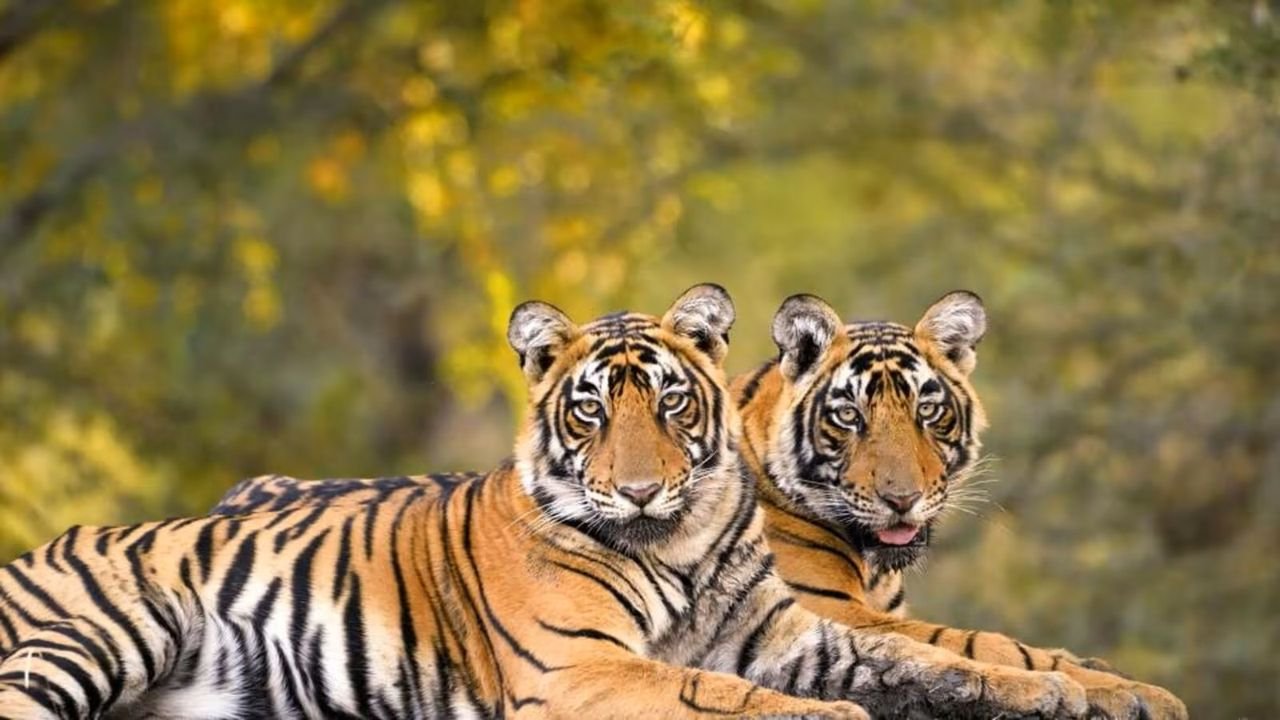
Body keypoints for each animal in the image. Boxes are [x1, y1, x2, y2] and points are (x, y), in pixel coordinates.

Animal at [0, 284, 1094, 720]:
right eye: (589, 409)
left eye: (922, 413)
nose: (640, 486)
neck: (681, 539)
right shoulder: (581, 669)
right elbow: (723, 695)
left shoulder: (799, 635)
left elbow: (950, 654)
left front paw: (1069, 688)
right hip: (102, 631)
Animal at [733, 290, 1188, 720]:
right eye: (848, 416)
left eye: (928, 410)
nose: (902, 499)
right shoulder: (823, 608)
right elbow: (980, 644)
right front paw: (1126, 691)